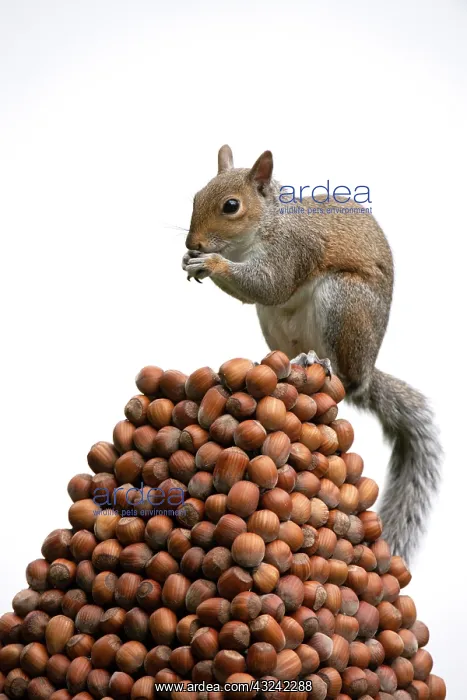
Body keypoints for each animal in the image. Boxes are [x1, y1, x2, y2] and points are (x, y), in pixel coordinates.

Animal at [182, 144, 441, 562]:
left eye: (231, 206)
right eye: (195, 196)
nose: (194, 243)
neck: (266, 224)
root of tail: (367, 370)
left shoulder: (293, 249)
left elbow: (269, 284)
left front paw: (211, 263)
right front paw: (190, 262)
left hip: (343, 304)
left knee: (345, 378)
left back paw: (319, 362)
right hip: (273, 323)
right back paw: (285, 363)